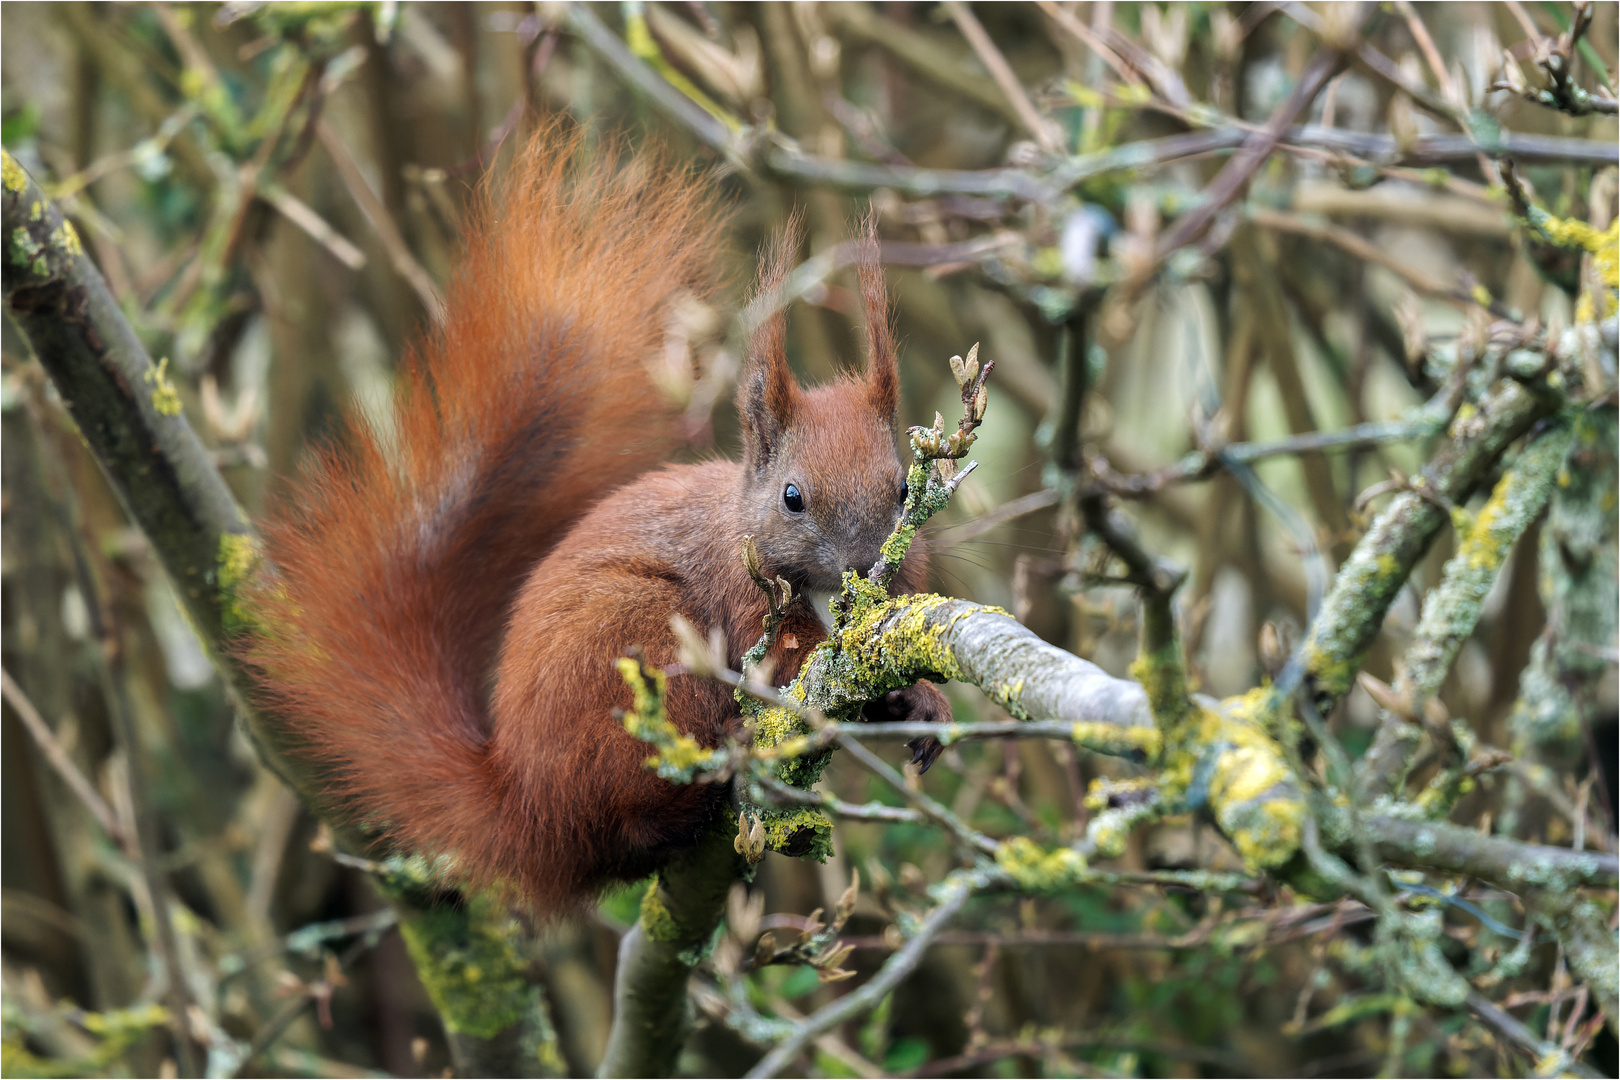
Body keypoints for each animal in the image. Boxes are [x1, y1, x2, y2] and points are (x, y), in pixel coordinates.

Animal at [243, 132, 946, 913]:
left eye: (904, 486)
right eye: (792, 497)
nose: (864, 562)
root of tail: (526, 810)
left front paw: (923, 700)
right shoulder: (744, 598)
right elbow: (791, 662)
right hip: (634, 648)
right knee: (633, 818)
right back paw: (708, 774)